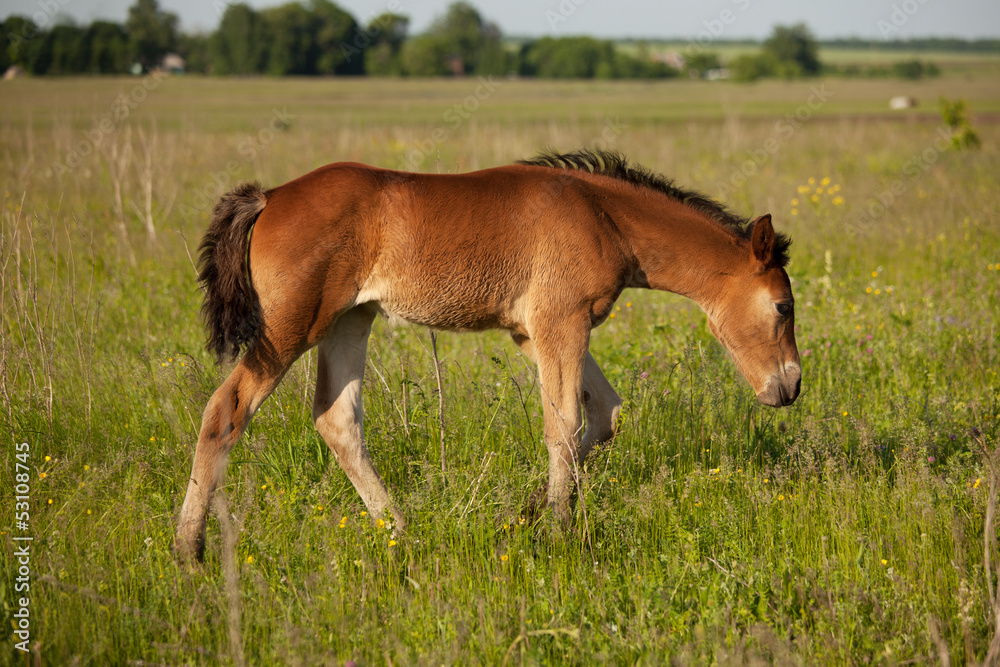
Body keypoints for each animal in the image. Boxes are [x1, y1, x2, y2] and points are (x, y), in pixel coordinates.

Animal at [174, 149, 804, 560]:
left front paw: (527, 514)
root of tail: (270, 196)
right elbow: (564, 423)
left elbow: (602, 415)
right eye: (782, 306)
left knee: (336, 419)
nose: (790, 386)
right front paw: (557, 532)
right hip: (289, 328)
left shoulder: (535, 333)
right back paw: (188, 549)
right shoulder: (560, 322)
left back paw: (402, 532)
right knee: (225, 411)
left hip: (350, 321)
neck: (603, 216)